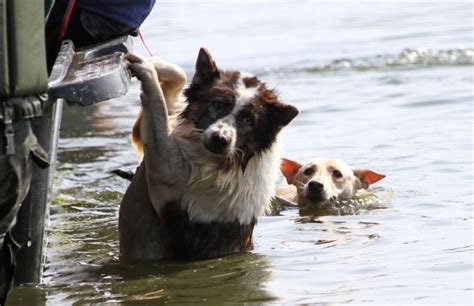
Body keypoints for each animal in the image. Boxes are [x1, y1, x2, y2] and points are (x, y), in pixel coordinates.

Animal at [118, 49, 298, 260]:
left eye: (248, 119)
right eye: (218, 104)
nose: (220, 139)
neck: (235, 160)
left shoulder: (165, 170)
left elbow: (158, 107)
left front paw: (148, 70)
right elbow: (179, 79)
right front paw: (155, 63)